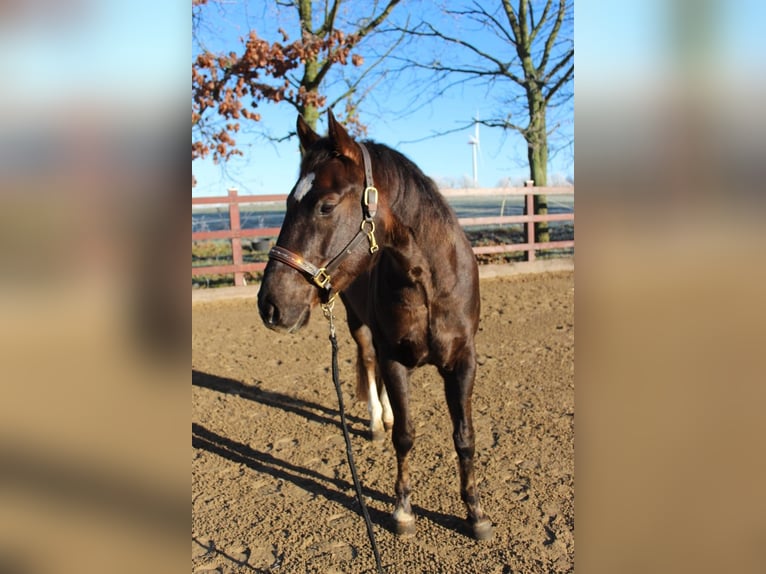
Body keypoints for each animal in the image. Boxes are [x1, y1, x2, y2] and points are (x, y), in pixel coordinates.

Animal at [258, 110, 496, 544]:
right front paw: (403, 511)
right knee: (368, 363)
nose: (270, 304)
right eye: (287, 202)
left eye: (326, 206)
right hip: (360, 327)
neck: (429, 282)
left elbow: (465, 437)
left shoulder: (463, 362)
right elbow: (405, 435)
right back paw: (375, 422)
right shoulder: (394, 358)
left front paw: (475, 513)